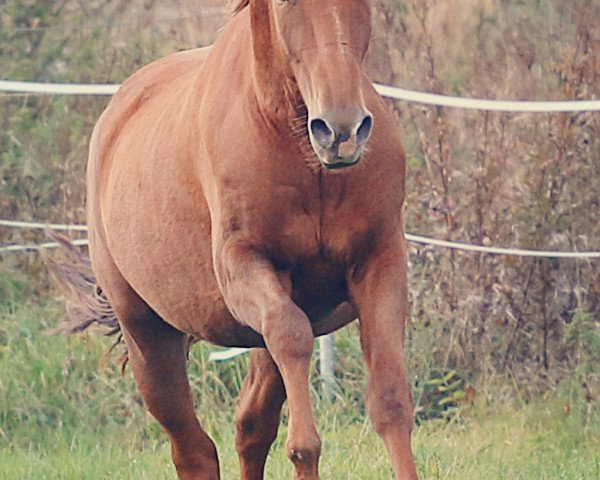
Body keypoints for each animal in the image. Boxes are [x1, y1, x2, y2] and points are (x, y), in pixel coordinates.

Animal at [67, 0, 418, 480]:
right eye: (287, 5)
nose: (342, 130)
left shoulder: (380, 262)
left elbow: (390, 403)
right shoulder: (244, 267)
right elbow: (298, 396)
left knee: (250, 426)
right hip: (147, 336)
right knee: (193, 449)